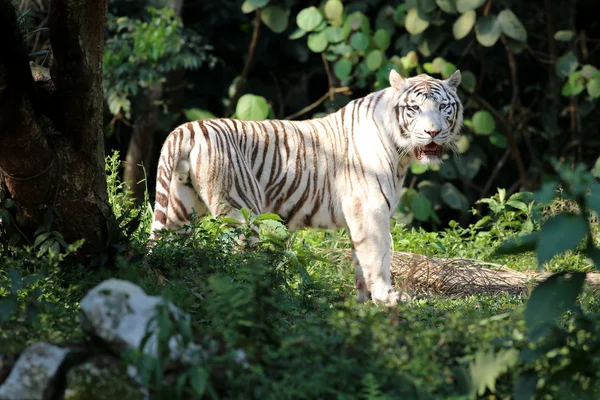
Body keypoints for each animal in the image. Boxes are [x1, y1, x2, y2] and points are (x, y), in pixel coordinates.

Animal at [150, 69, 464, 306]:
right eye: (415, 108)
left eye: (443, 107)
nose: (433, 132)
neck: (402, 154)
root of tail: (186, 128)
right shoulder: (371, 208)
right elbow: (378, 255)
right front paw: (387, 298)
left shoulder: (358, 215)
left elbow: (360, 257)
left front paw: (363, 302)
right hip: (242, 212)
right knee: (235, 260)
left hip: (180, 209)